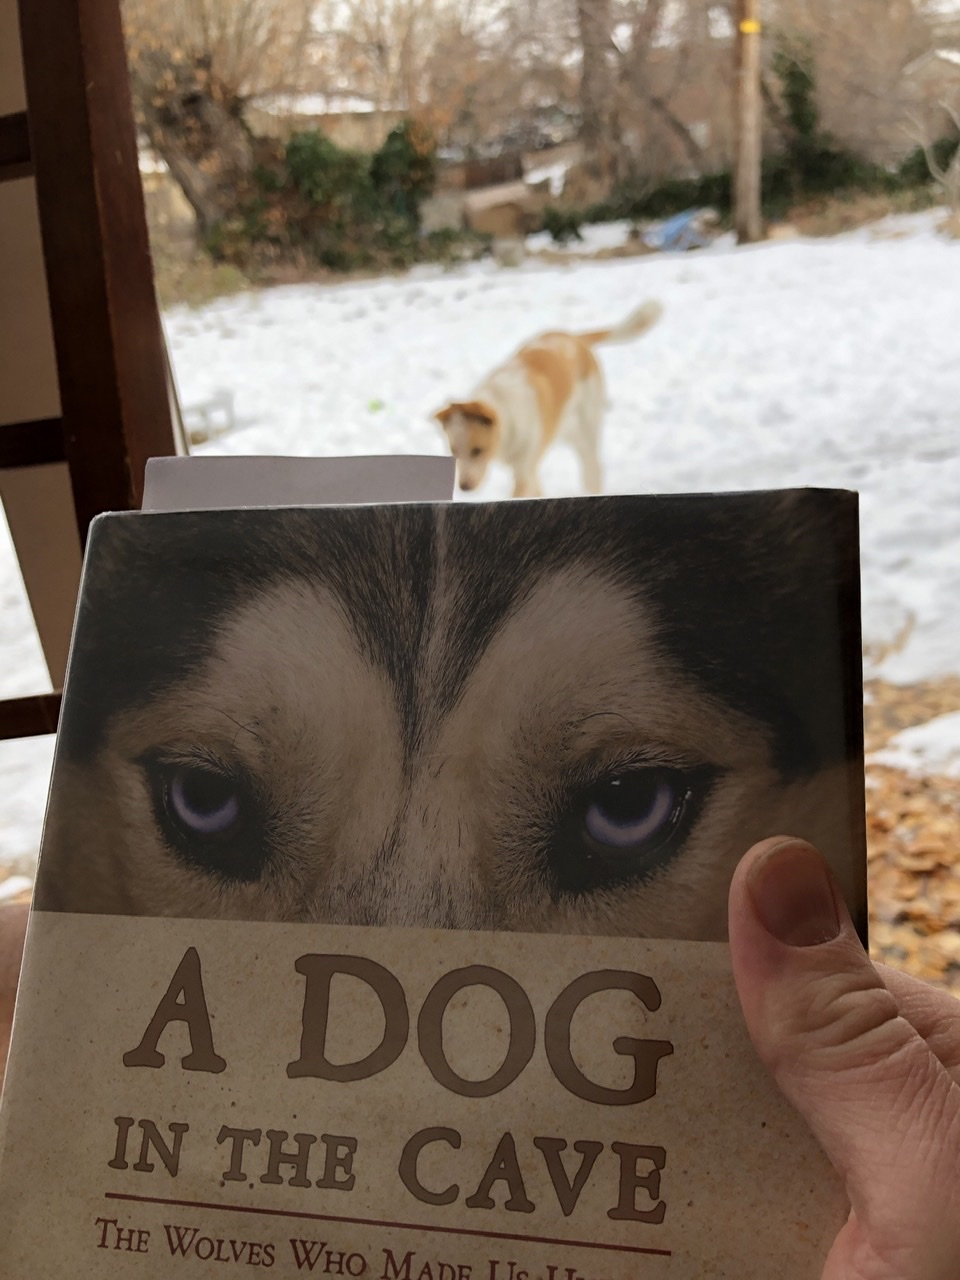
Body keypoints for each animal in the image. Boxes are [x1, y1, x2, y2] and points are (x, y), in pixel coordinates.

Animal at [435, 302, 660, 496]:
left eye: (477, 450)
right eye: (454, 451)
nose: (464, 487)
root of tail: (576, 339)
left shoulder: (523, 472)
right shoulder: (528, 470)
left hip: (587, 432)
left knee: (592, 468)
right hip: (566, 430)